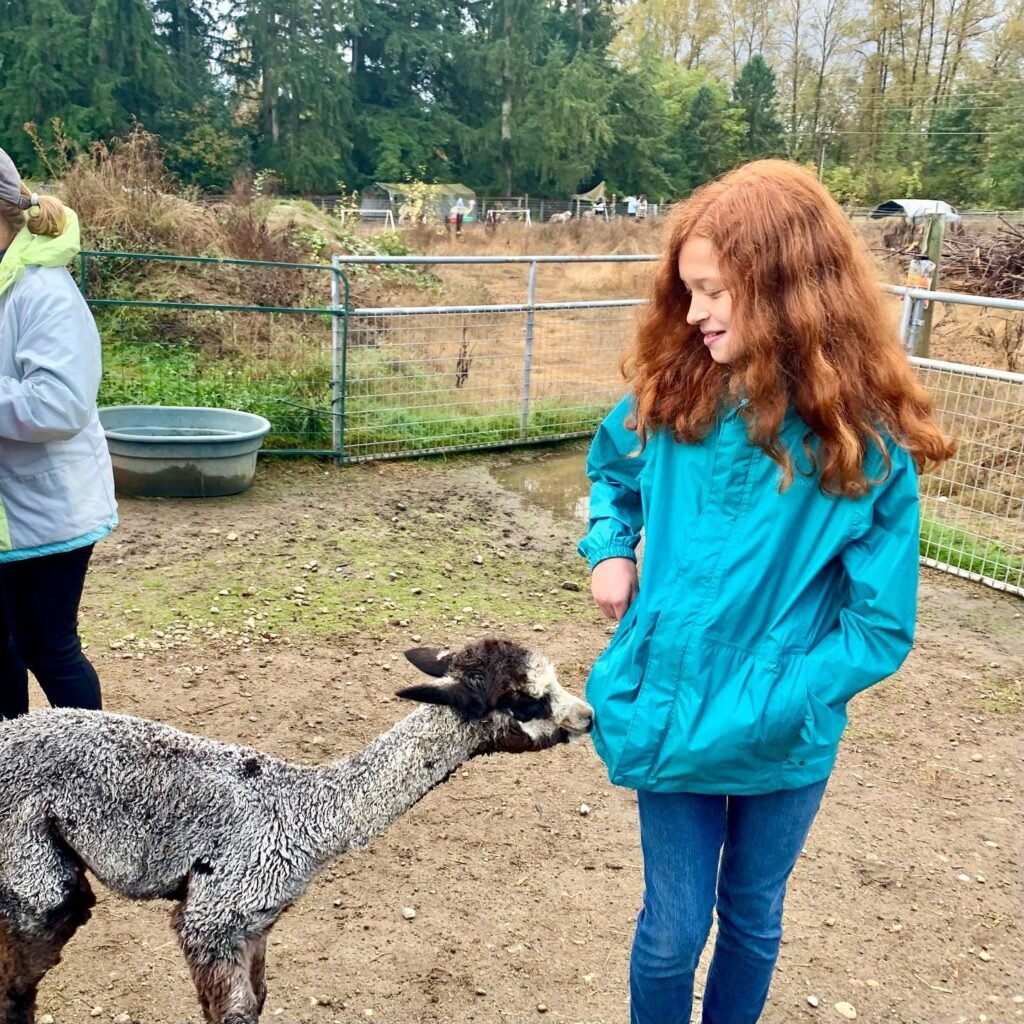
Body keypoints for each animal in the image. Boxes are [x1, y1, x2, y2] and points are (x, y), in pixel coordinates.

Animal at [0, 637, 593, 1024]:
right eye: (525, 700)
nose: (587, 716)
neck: (303, 813)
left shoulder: (255, 926)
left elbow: (259, 1000)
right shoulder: (211, 921)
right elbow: (235, 1014)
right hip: (31, 872)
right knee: (18, 984)